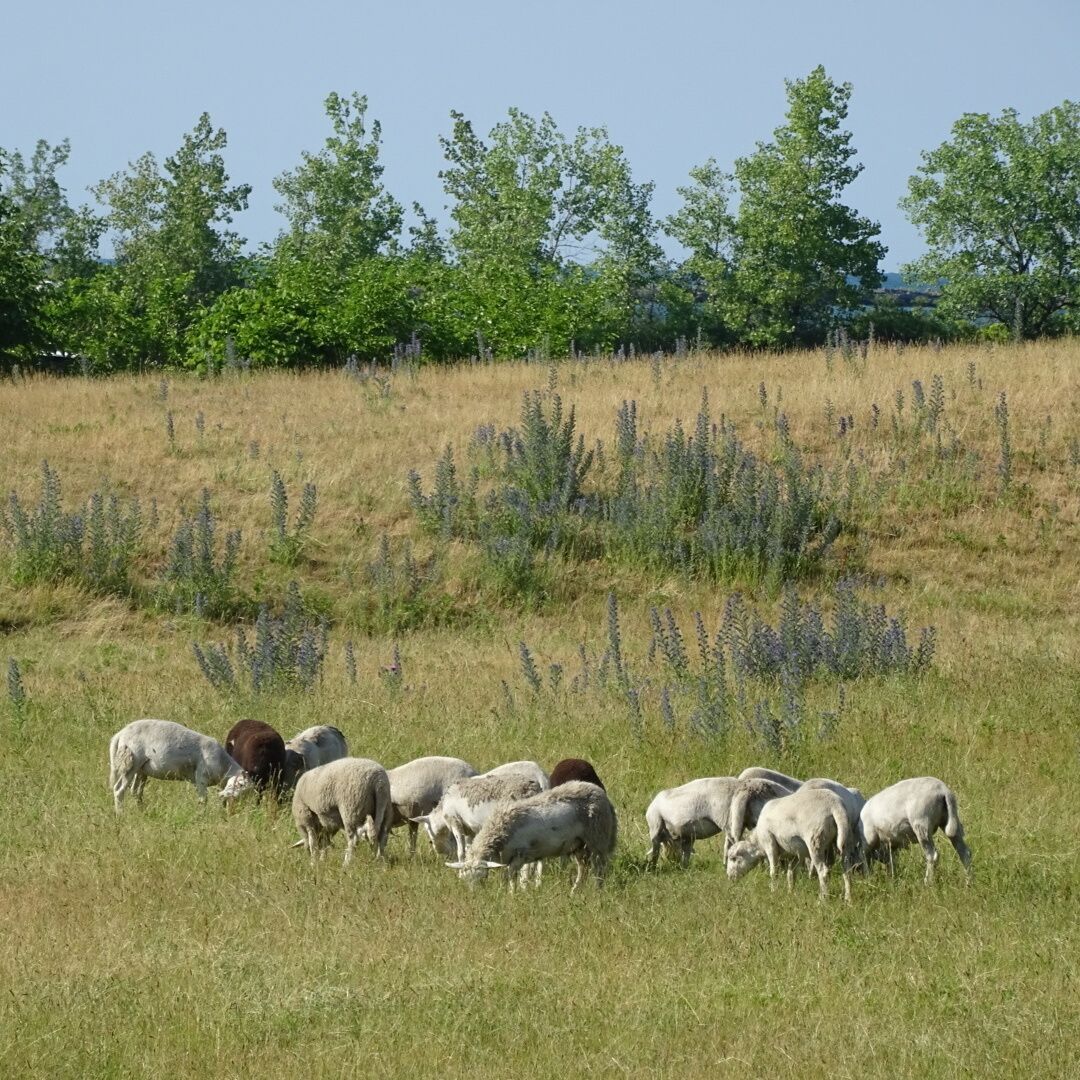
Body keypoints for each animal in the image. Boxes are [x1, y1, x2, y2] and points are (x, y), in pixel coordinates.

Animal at [108, 718, 243, 812]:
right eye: (241, 785)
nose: (234, 813)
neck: (223, 764)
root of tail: (120, 735)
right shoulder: (201, 777)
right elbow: (203, 800)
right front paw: (202, 816)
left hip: (140, 769)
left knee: (135, 791)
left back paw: (141, 811)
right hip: (130, 763)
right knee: (118, 790)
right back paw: (121, 814)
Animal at [412, 764, 547, 862]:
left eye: (428, 831)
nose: (439, 852)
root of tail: (534, 788)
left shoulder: (455, 822)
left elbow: (461, 850)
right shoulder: (470, 829)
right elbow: (469, 848)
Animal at [447, 781, 617, 893]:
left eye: (482, 876)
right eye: (464, 879)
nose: (474, 895)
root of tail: (601, 794)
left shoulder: (520, 856)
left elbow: (511, 877)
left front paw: (511, 895)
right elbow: (505, 876)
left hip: (598, 838)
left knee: (600, 870)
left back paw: (597, 891)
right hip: (579, 844)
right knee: (583, 869)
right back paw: (575, 891)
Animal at [645, 776, 791, 869]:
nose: (671, 861)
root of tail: (746, 790)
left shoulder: (656, 825)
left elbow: (656, 849)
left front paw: (652, 866)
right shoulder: (688, 836)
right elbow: (686, 852)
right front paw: (683, 867)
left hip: (728, 820)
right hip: (743, 819)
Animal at [726, 786, 858, 902]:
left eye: (733, 858)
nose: (729, 877)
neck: (758, 842)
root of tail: (835, 806)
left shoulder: (769, 843)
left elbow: (774, 871)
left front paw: (773, 892)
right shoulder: (793, 853)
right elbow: (791, 874)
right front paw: (790, 893)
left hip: (815, 840)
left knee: (823, 872)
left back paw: (823, 899)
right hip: (845, 839)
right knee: (847, 870)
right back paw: (848, 899)